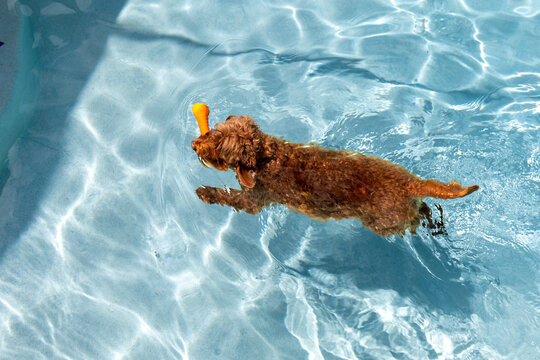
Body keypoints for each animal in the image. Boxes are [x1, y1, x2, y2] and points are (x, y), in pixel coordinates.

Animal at [192, 115, 478, 236]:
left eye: (220, 148)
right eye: (215, 129)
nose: (194, 145)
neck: (267, 156)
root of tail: (411, 183)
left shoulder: (255, 199)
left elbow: (232, 198)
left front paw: (205, 192)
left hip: (386, 222)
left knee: (415, 219)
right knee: (423, 207)